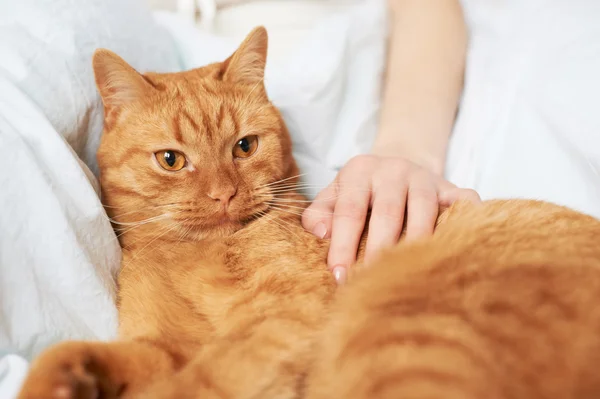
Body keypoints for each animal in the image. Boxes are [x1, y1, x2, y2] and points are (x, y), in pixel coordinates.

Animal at [18, 27, 600, 399]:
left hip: (403, 332)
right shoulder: (162, 347)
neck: (191, 256)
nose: (223, 195)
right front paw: (61, 380)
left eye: (245, 147)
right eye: (171, 160)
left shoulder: (283, 316)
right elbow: (80, 355)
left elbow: (200, 382)